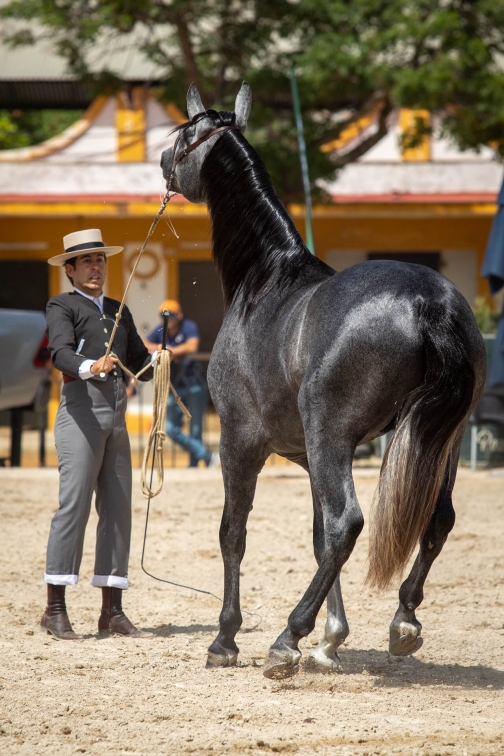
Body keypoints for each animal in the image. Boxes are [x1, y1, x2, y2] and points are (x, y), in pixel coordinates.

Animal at [159, 82, 486, 680]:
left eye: (185, 133)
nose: (164, 164)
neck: (266, 279)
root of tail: (429, 301)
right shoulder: (309, 456)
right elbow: (314, 538)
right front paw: (332, 639)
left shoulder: (241, 442)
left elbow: (234, 533)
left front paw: (227, 639)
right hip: (437, 440)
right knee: (434, 520)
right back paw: (402, 621)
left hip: (332, 435)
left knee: (348, 523)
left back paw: (286, 639)